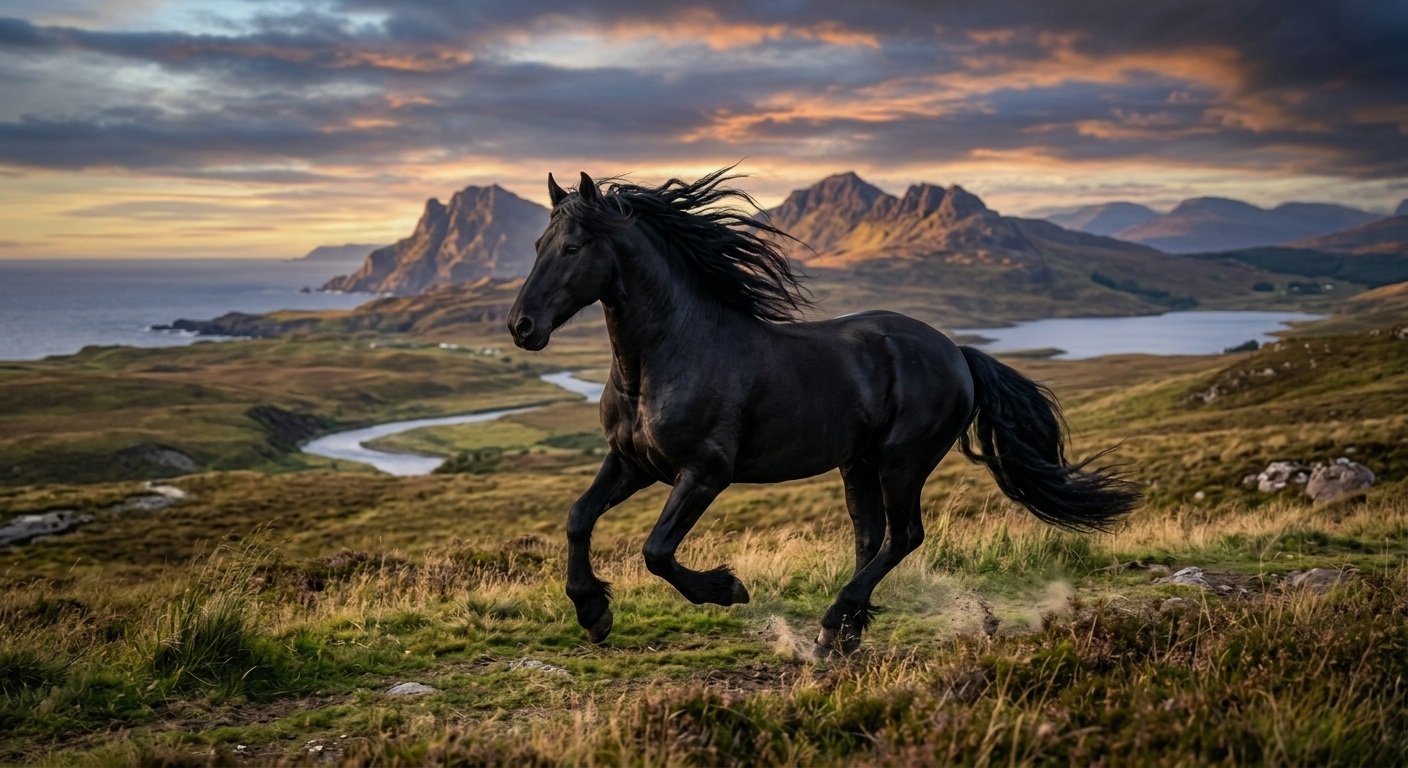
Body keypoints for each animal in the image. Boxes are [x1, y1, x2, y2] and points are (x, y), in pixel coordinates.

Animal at [507, 168, 1139, 656]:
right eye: (536, 246)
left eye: (572, 248)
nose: (521, 327)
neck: (669, 355)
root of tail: (957, 352)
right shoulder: (633, 463)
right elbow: (579, 517)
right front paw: (593, 612)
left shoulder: (705, 472)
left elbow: (657, 550)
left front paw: (728, 590)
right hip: (858, 463)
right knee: (871, 538)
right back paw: (844, 634)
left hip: (902, 461)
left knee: (904, 536)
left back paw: (835, 624)